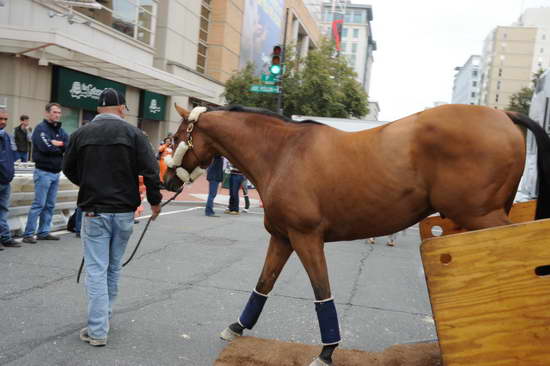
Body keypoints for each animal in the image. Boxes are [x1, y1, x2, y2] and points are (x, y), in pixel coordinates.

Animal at [164, 103, 550, 366]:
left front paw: (327, 351)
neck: (284, 153)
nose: (167, 180)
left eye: (177, 137)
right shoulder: (283, 238)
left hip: (482, 216)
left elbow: (322, 293)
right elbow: (264, 284)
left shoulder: (306, 237)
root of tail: (504, 115)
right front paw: (238, 326)